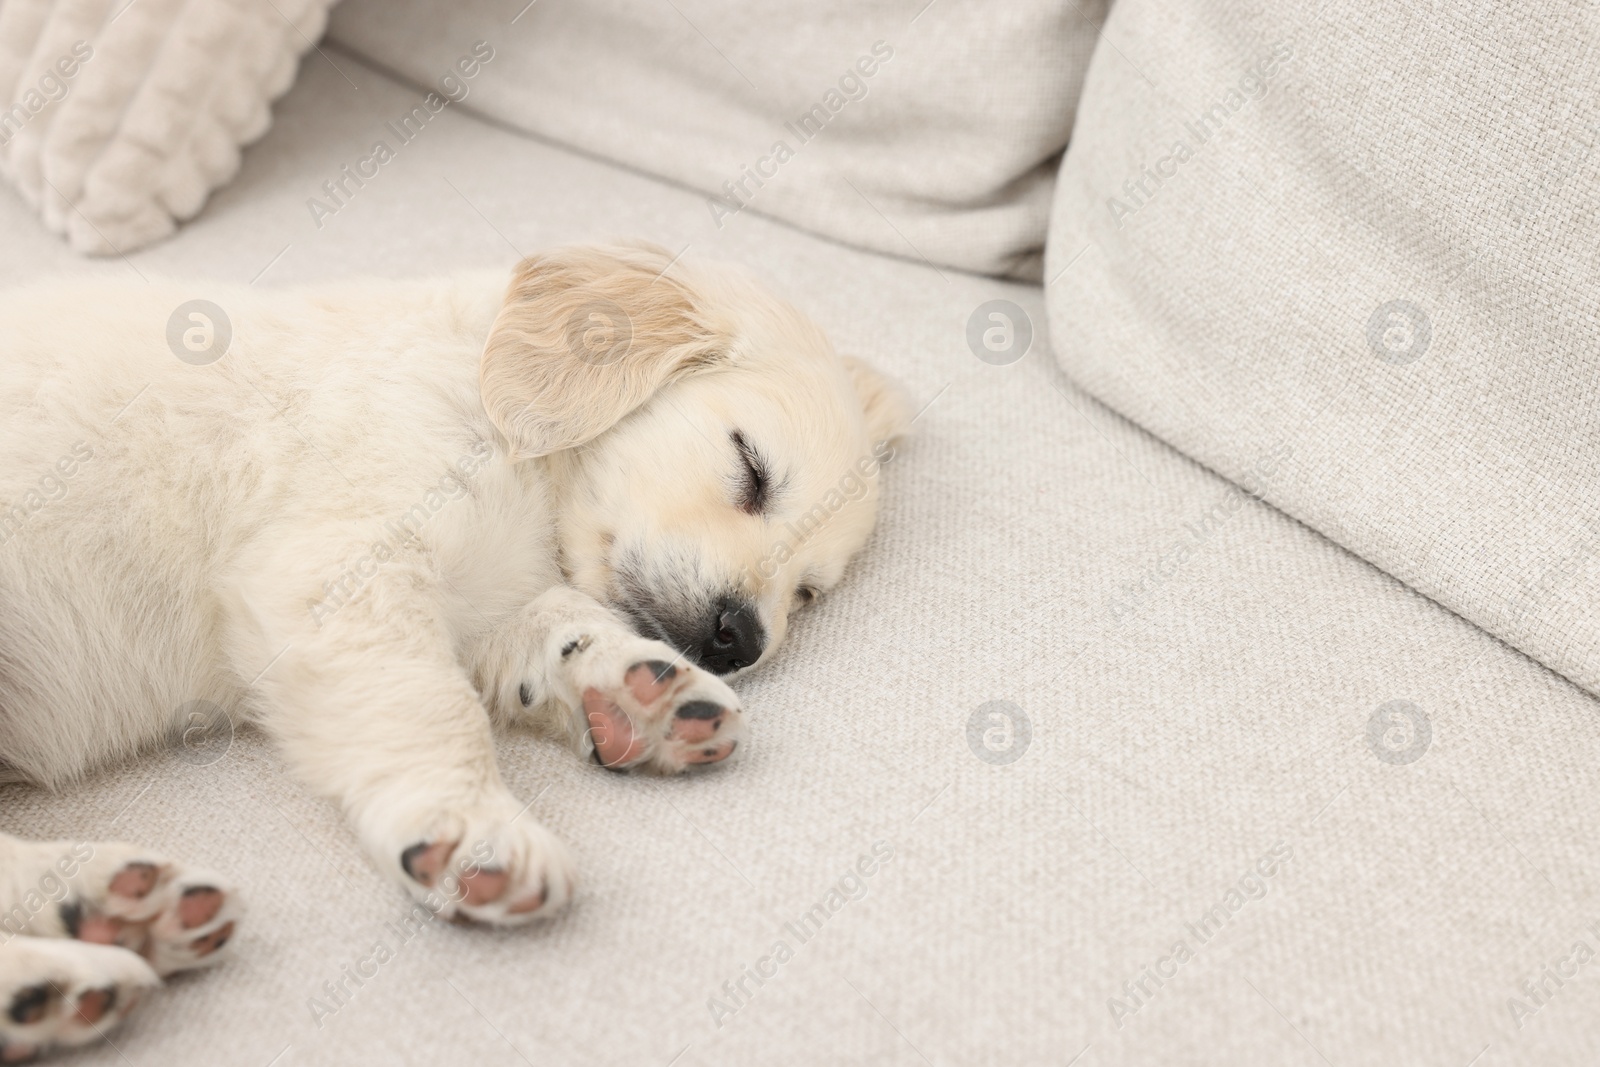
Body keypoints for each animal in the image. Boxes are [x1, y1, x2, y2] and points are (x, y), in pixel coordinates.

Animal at [0, 244, 908, 1062]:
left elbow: (559, 621)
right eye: (751, 470)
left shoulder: (489, 600)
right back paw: (61, 968)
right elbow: (432, 708)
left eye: (807, 592)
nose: (740, 639)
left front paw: (635, 689)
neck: (499, 429)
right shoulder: (343, 570)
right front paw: (470, 823)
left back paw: (105, 919)